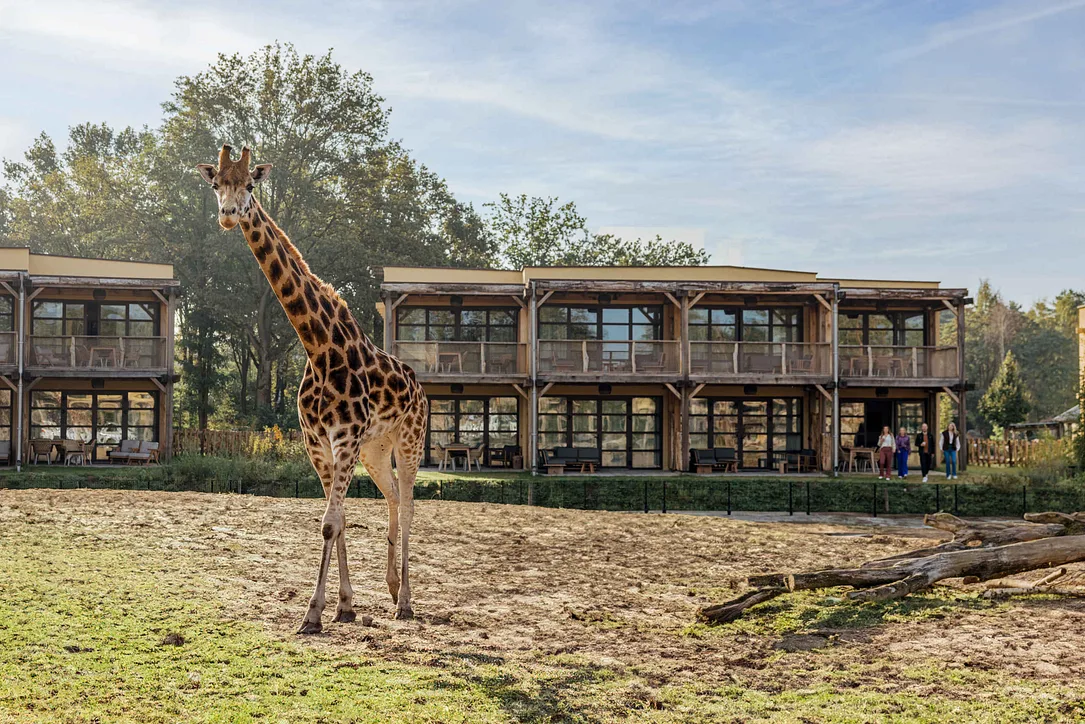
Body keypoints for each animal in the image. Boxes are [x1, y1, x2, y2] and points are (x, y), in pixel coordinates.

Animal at [197, 145, 428, 631]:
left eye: (250, 184)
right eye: (216, 184)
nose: (228, 215)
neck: (318, 346)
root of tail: (419, 386)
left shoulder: (344, 440)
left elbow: (329, 521)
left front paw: (313, 612)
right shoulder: (319, 442)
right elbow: (335, 519)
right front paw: (344, 605)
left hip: (409, 441)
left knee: (410, 504)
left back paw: (405, 602)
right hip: (376, 449)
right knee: (392, 497)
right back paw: (391, 588)